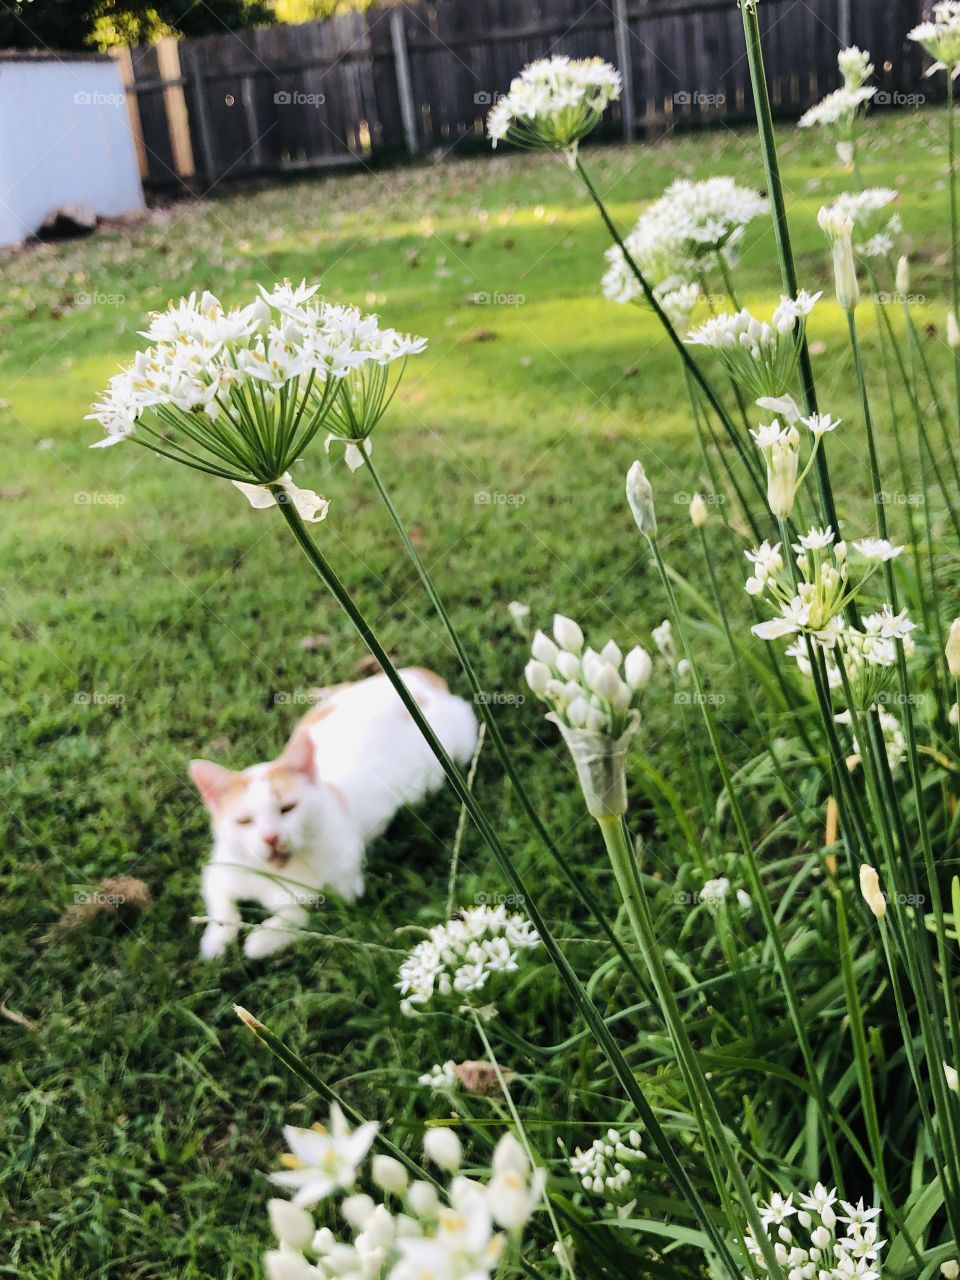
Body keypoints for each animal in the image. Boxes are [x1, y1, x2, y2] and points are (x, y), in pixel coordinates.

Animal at [192, 670, 481, 962]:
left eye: (288, 808)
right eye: (244, 821)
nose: (271, 837)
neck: (282, 872)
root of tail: (421, 680)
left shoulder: (345, 891)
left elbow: (303, 915)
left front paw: (262, 939)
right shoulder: (221, 870)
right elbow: (221, 907)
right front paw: (215, 942)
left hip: (462, 739)